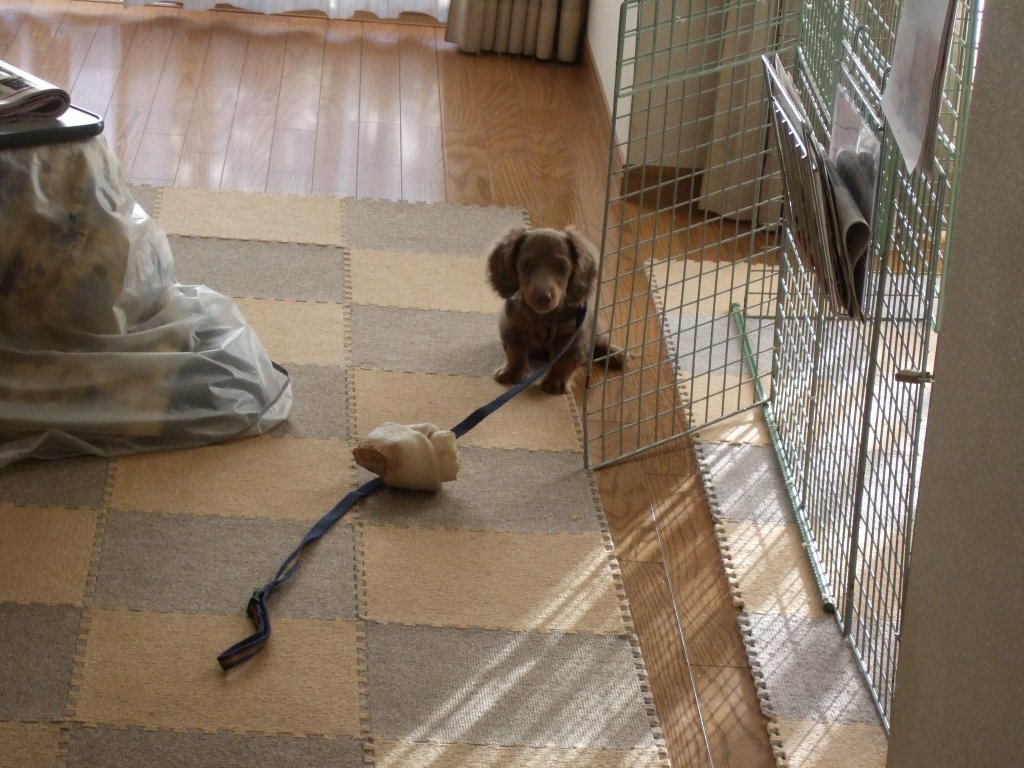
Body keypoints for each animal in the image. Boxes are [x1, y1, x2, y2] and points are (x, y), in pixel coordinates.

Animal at [486, 224, 626, 394]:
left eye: (562, 267)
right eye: (526, 265)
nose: (543, 298)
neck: (542, 317)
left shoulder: (573, 335)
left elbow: (565, 361)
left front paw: (555, 382)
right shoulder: (513, 326)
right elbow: (515, 352)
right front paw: (512, 372)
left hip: (595, 327)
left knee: (599, 343)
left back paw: (615, 355)